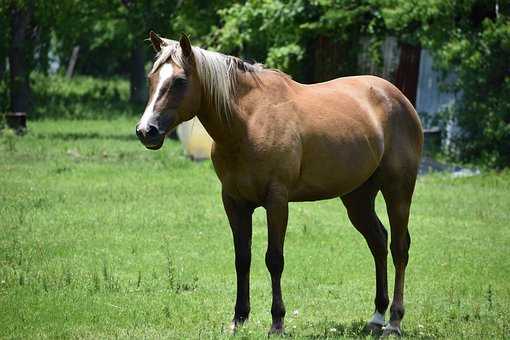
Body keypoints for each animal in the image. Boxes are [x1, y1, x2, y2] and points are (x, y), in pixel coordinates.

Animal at [134, 32, 422, 338]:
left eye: (179, 81)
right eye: (152, 78)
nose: (146, 131)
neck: (248, 122)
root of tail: (397, 97)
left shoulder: (277, 202)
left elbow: (274, 259)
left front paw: (277, 322)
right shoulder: (234, 203)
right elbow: (242, 258)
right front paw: (238, 319)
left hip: (398, 191)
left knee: (399, 248)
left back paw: (394, 322)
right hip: (357, 197)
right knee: (378, 241)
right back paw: (377, 317)